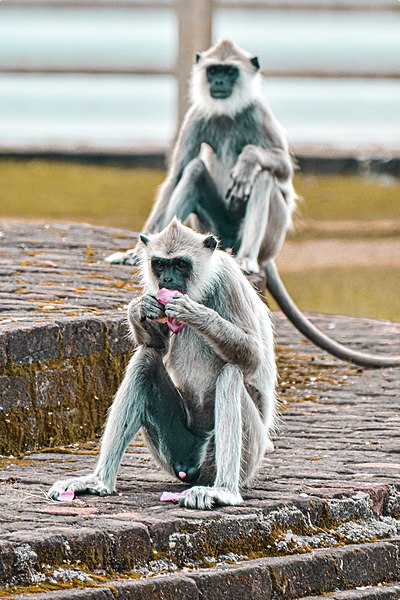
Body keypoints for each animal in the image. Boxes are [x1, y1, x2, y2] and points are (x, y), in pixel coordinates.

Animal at [48, 218, 276, 508]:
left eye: (180, 264)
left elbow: (253, 355)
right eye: (160, 264)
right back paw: (99, 481)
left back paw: (224, 491)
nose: (167, 280)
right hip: (174, 450)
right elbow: (156, 346)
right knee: (145, 359)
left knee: (231, 372)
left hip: (246, 453)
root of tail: (192, 469)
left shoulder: (229, 281)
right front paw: (139, 308)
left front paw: (194, 313)